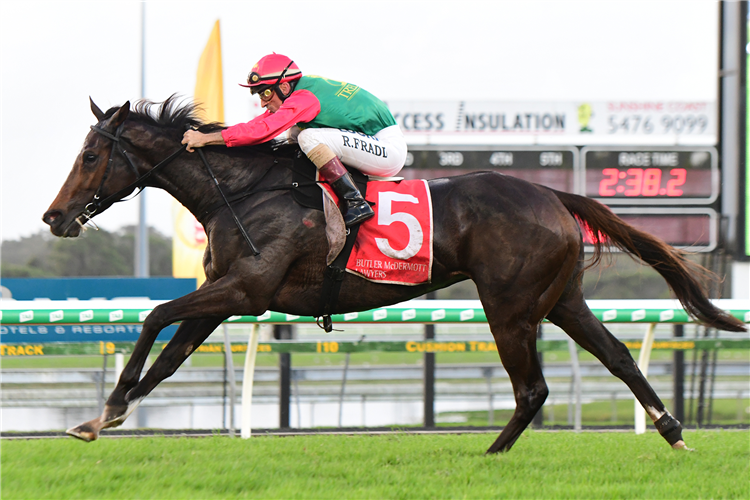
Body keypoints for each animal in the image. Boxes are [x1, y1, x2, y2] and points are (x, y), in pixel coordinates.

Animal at [45, 96, 748, 454]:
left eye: (91, 154)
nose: (53, 216)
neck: (241, 192)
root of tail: (552, 193)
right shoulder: (224, 297)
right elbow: (168, 354)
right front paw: (102, 417)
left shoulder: (246, 289)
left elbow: (154, 316)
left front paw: (107, 406)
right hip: (561, 299)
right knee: (619, 357)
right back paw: (671, 430)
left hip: (509, 306)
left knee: (533, 389)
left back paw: (491, 455)